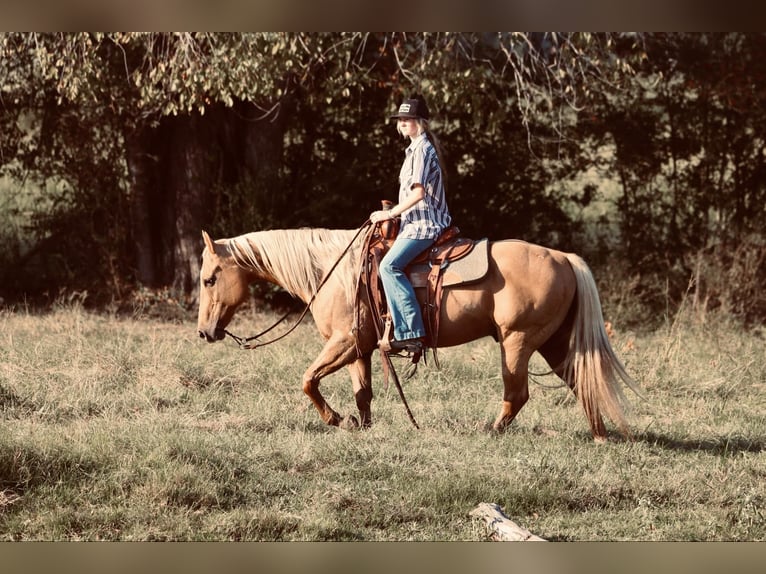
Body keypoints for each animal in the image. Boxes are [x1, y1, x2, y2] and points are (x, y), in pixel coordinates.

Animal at [196, 226, 640, 440]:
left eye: (208, 278)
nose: (204, 333)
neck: (332, 270)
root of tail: (564, 258)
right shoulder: (359, 348)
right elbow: (362, 392)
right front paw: (362, 426)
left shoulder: (343, 342)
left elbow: (307, 380)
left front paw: (337, 420)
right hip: (554, 342)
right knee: (582, 381)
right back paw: (600, 436)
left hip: (518, 341)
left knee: (517, 394)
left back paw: (490, 431)